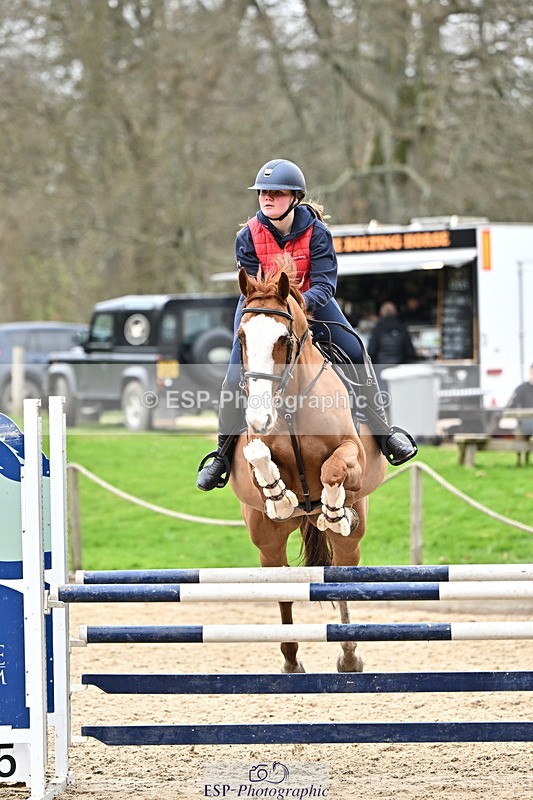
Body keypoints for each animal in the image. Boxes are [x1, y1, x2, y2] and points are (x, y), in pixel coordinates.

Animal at [229, 256, 388, 673]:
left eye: (284, 339)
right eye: (242, 338)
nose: (260, 417)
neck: (291, 400)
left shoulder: (354, 455)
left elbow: (333, 469)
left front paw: (332, 509)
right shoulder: (252, 451)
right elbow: (258, 455)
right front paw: (280, 496)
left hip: (353, 538)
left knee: (344, 573)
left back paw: (349, 657)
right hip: (266, 542)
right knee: (282, 586)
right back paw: (290, 660)